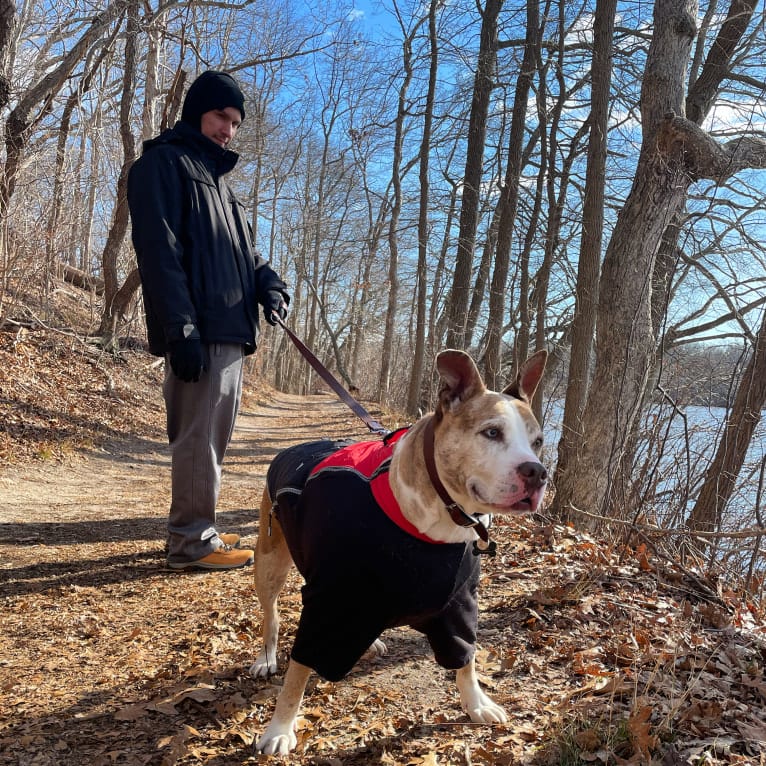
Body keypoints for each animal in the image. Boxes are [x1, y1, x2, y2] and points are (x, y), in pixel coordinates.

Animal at [250, 350, 544, 756]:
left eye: (538, 441)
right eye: (491, 433)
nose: (538, 472)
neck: (436, 521)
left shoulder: (459, 604)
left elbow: (465, 657)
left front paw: (476, 703)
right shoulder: (327, 604)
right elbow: (298, 674)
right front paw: (279, 728)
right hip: (270, 559)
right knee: (272, 614)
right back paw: (266, 657)